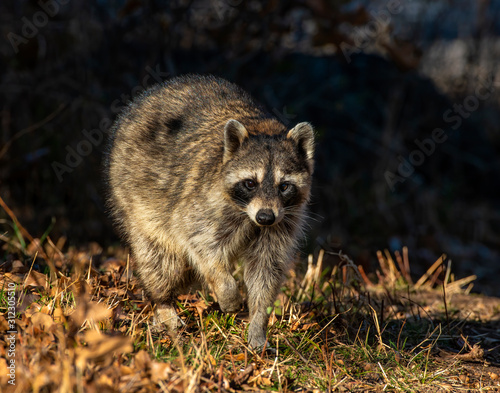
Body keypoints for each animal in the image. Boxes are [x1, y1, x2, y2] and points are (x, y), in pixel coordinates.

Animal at [107, 73, 314, 346]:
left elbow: (266, 269)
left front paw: (258, 322)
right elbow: (201, 244)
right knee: (161, 259)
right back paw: (163, 303)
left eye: (284, 186)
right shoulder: (203, 206)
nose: (265, 217)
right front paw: (227, 289)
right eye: (250, 183)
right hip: (133, 195)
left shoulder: (283, 222)